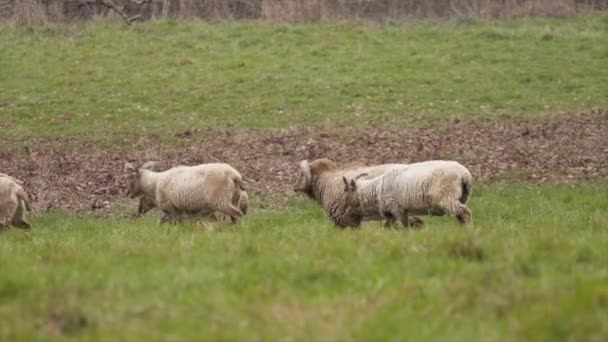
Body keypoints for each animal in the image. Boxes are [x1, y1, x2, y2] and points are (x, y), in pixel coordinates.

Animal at [340, 159, 472, 228]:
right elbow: (387, 227)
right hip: (462, 197)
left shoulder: (398, 209)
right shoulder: (392, 214)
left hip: (446, 196)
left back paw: (469, 229)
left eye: (346, 191)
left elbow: (405, 226)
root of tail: (465, 174)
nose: (344, 212)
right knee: (461, 215)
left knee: (466, 212)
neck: (375, 189)